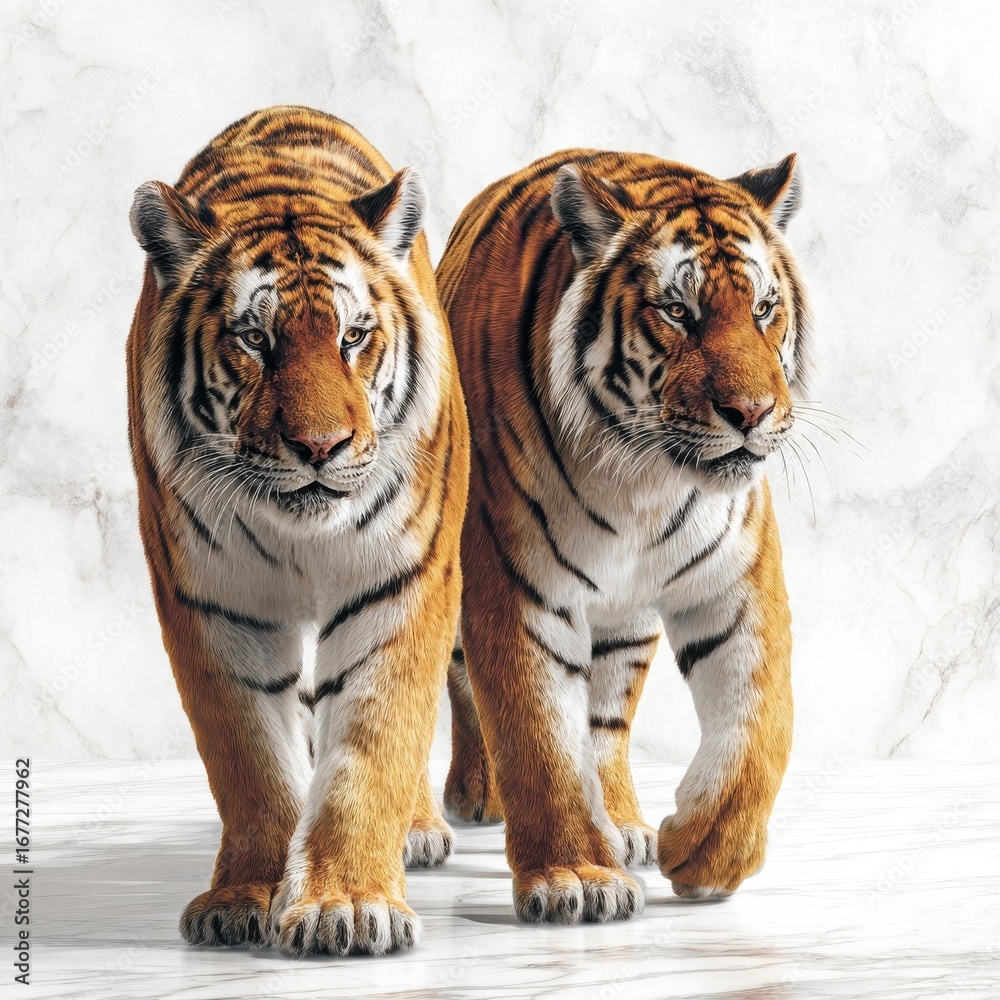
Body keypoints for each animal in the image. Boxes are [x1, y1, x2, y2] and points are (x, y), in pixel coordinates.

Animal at [126, 106, 468, 956]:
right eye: (255, 340)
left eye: (352, 337)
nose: (320, 447)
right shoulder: (215, 603)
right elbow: (248, 757)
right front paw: (244, 895)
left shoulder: (401, 580)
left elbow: (373, 744)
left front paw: (348, 903)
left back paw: (416, 831)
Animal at [436, 148, 807, 923]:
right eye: (678, 311)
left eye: (764, 309)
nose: (753, 413)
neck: (642, 480)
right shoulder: (515, 583)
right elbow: (538, 733)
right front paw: (575, 877)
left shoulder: (736, 578)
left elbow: (763, 725)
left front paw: (705, 851)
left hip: (628, 620)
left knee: (604, 722)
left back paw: (624, 827)